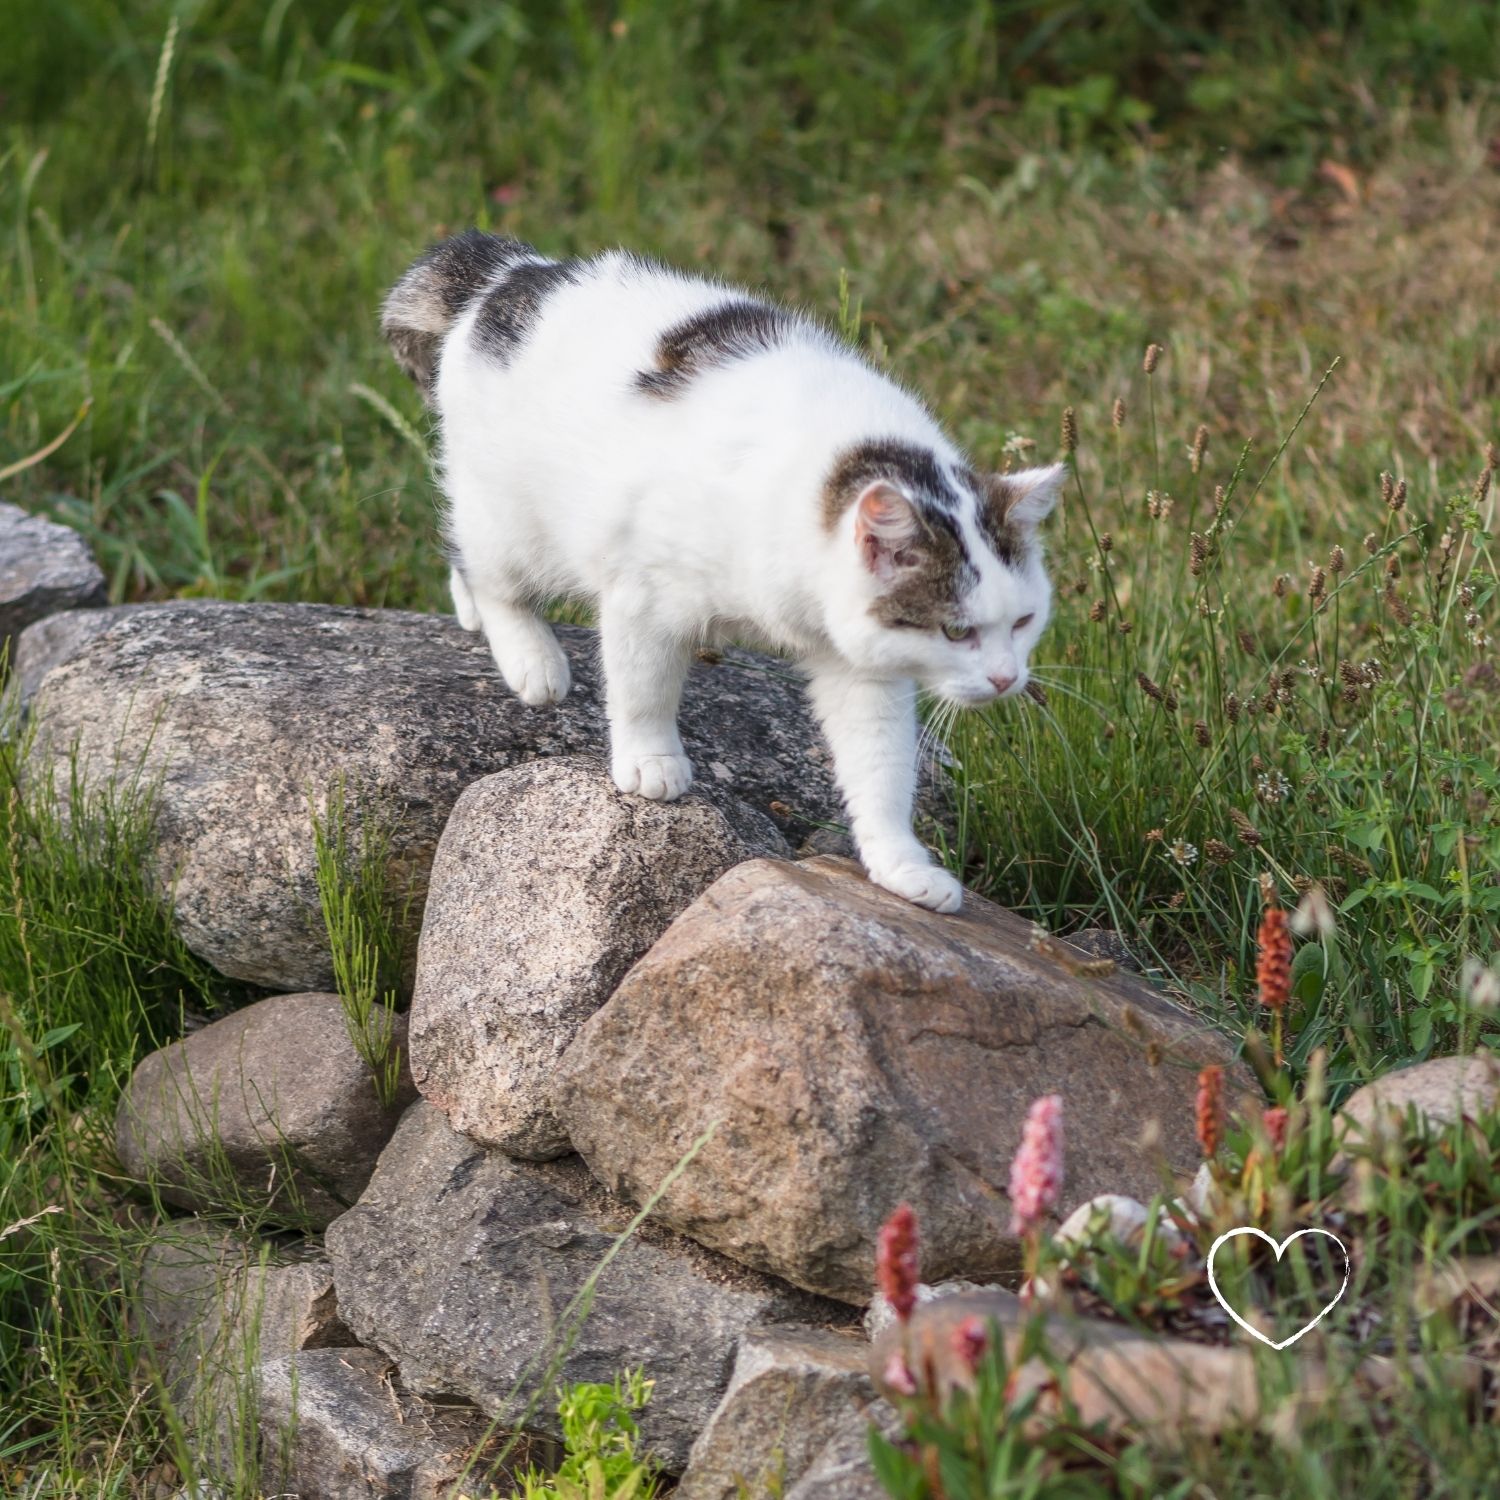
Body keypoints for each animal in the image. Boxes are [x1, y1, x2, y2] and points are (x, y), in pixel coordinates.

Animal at [387, 234, 1068, 912]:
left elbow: (881, 766)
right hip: (516, 520)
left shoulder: (862, 669)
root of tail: (512, 272)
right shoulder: (644, 593)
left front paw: (901, 865)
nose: (1006, 679)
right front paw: (651, 758)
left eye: (1024, 621)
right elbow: (643, 686)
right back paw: (533, 659)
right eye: (956, 632)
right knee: (490, 570)